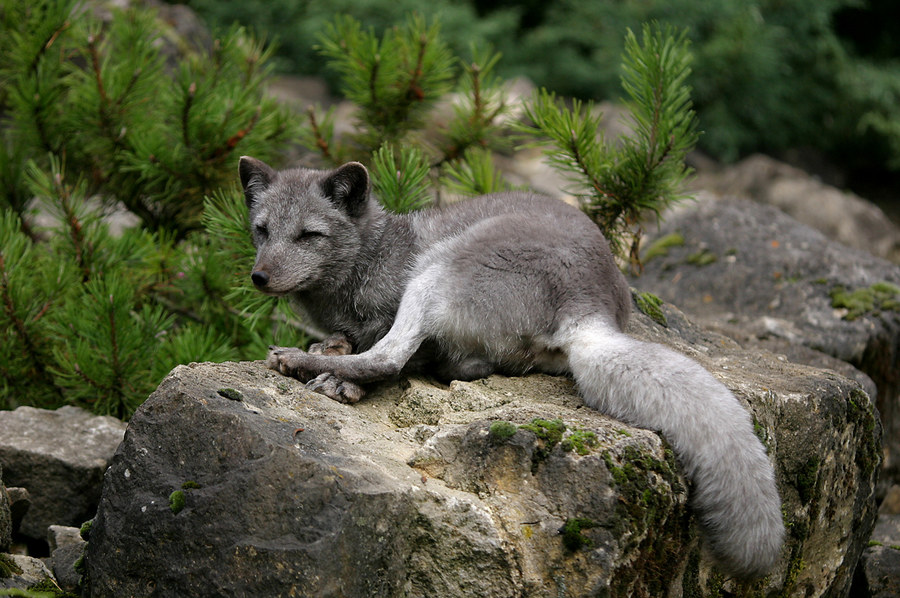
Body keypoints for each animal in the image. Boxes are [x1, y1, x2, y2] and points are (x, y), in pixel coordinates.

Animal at [237, 157, 780, 580]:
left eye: (309, 235)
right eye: (262, 230)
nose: (259, 277)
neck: (377, 254)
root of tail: (589, 305)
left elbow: (392, 353)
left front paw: (334, 369)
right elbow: (356, 341)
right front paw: (331, 347)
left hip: (439, 268)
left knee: (392, 358)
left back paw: (305, 364)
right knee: (465, 365)